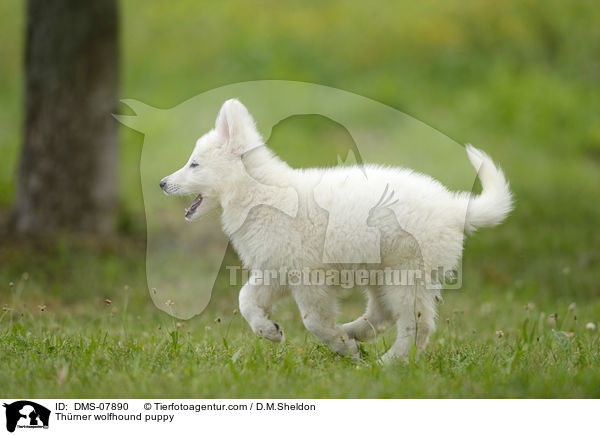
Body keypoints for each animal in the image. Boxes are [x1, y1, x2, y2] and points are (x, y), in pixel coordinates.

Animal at [159, 100, 510, 362]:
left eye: (194, 164)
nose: (161, 183)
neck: (260, 195)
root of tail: (454, 208)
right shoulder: (276, 271)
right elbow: (246, 298)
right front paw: (268, 330)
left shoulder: (309, 279)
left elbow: (314, 321)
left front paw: (340, 346)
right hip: (379, 275)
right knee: (383, 316)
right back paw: (355, 332)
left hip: (406, 276)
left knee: (415, 326)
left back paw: (388, 363)